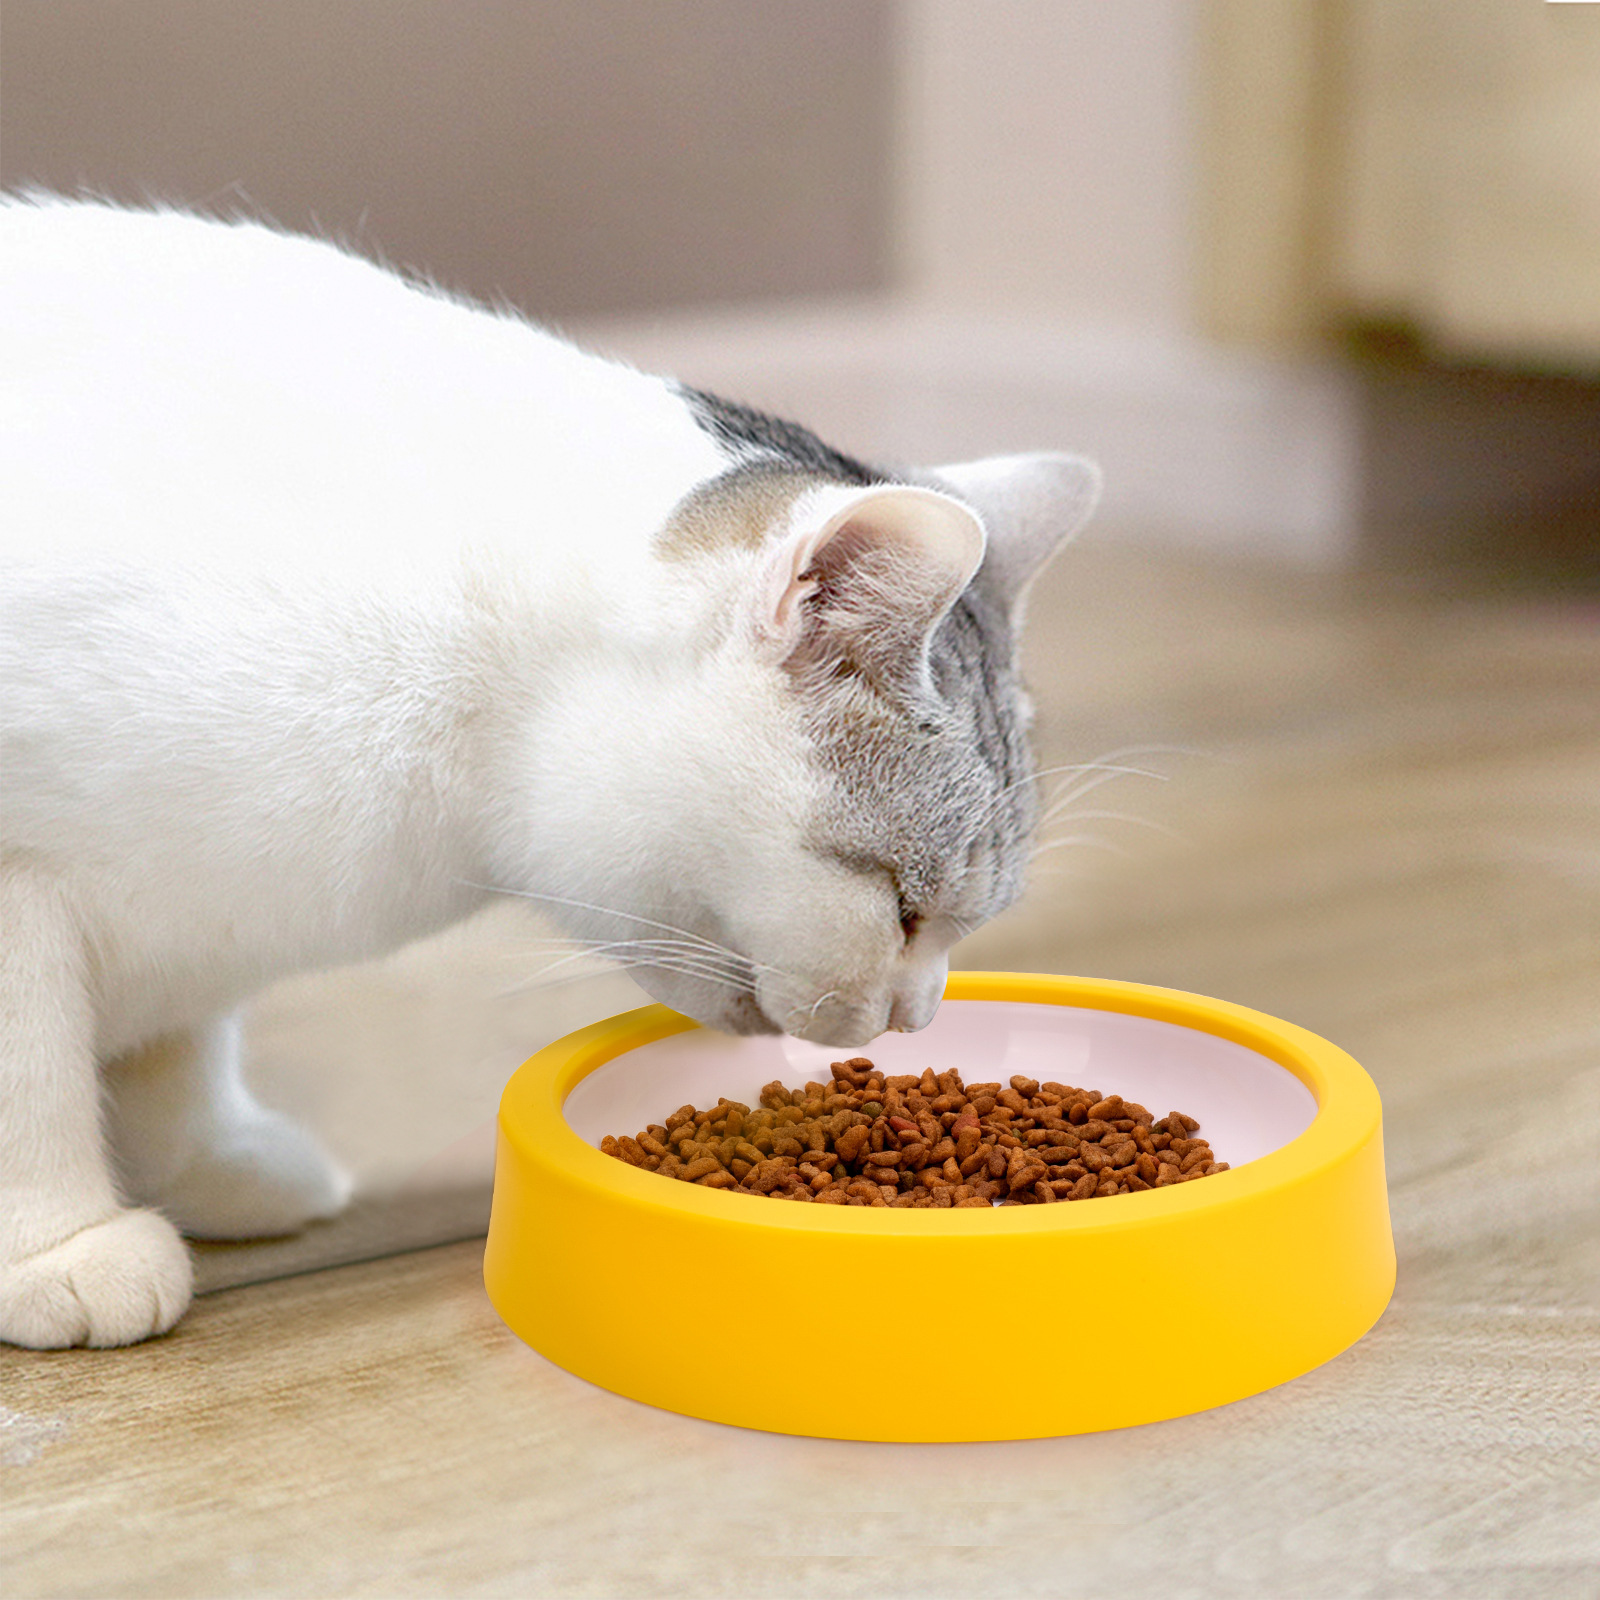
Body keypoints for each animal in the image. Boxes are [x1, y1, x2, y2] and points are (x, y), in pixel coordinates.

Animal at [0, 196, 1100, 1348]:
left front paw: (208, 1164)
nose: (918, 1018)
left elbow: (181, 1047)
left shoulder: (211, 908)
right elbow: (31, 1071)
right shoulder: (22, 882)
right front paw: (61, 1244)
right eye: (900, 909)